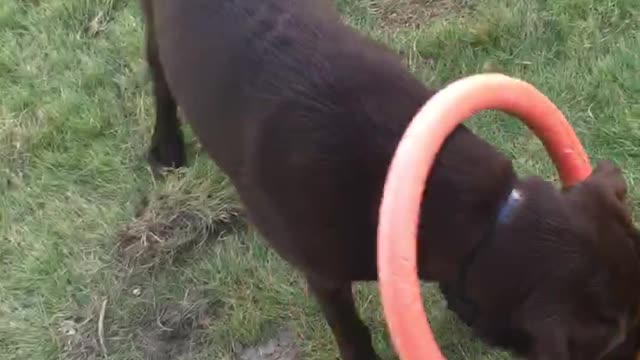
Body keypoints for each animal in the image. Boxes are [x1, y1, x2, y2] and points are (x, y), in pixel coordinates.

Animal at [139, 0, 640, 358]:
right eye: (620, 348)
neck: (488, 220)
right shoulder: (324, 277)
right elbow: (353, 333)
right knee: (159, 76)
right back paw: (165, 147)